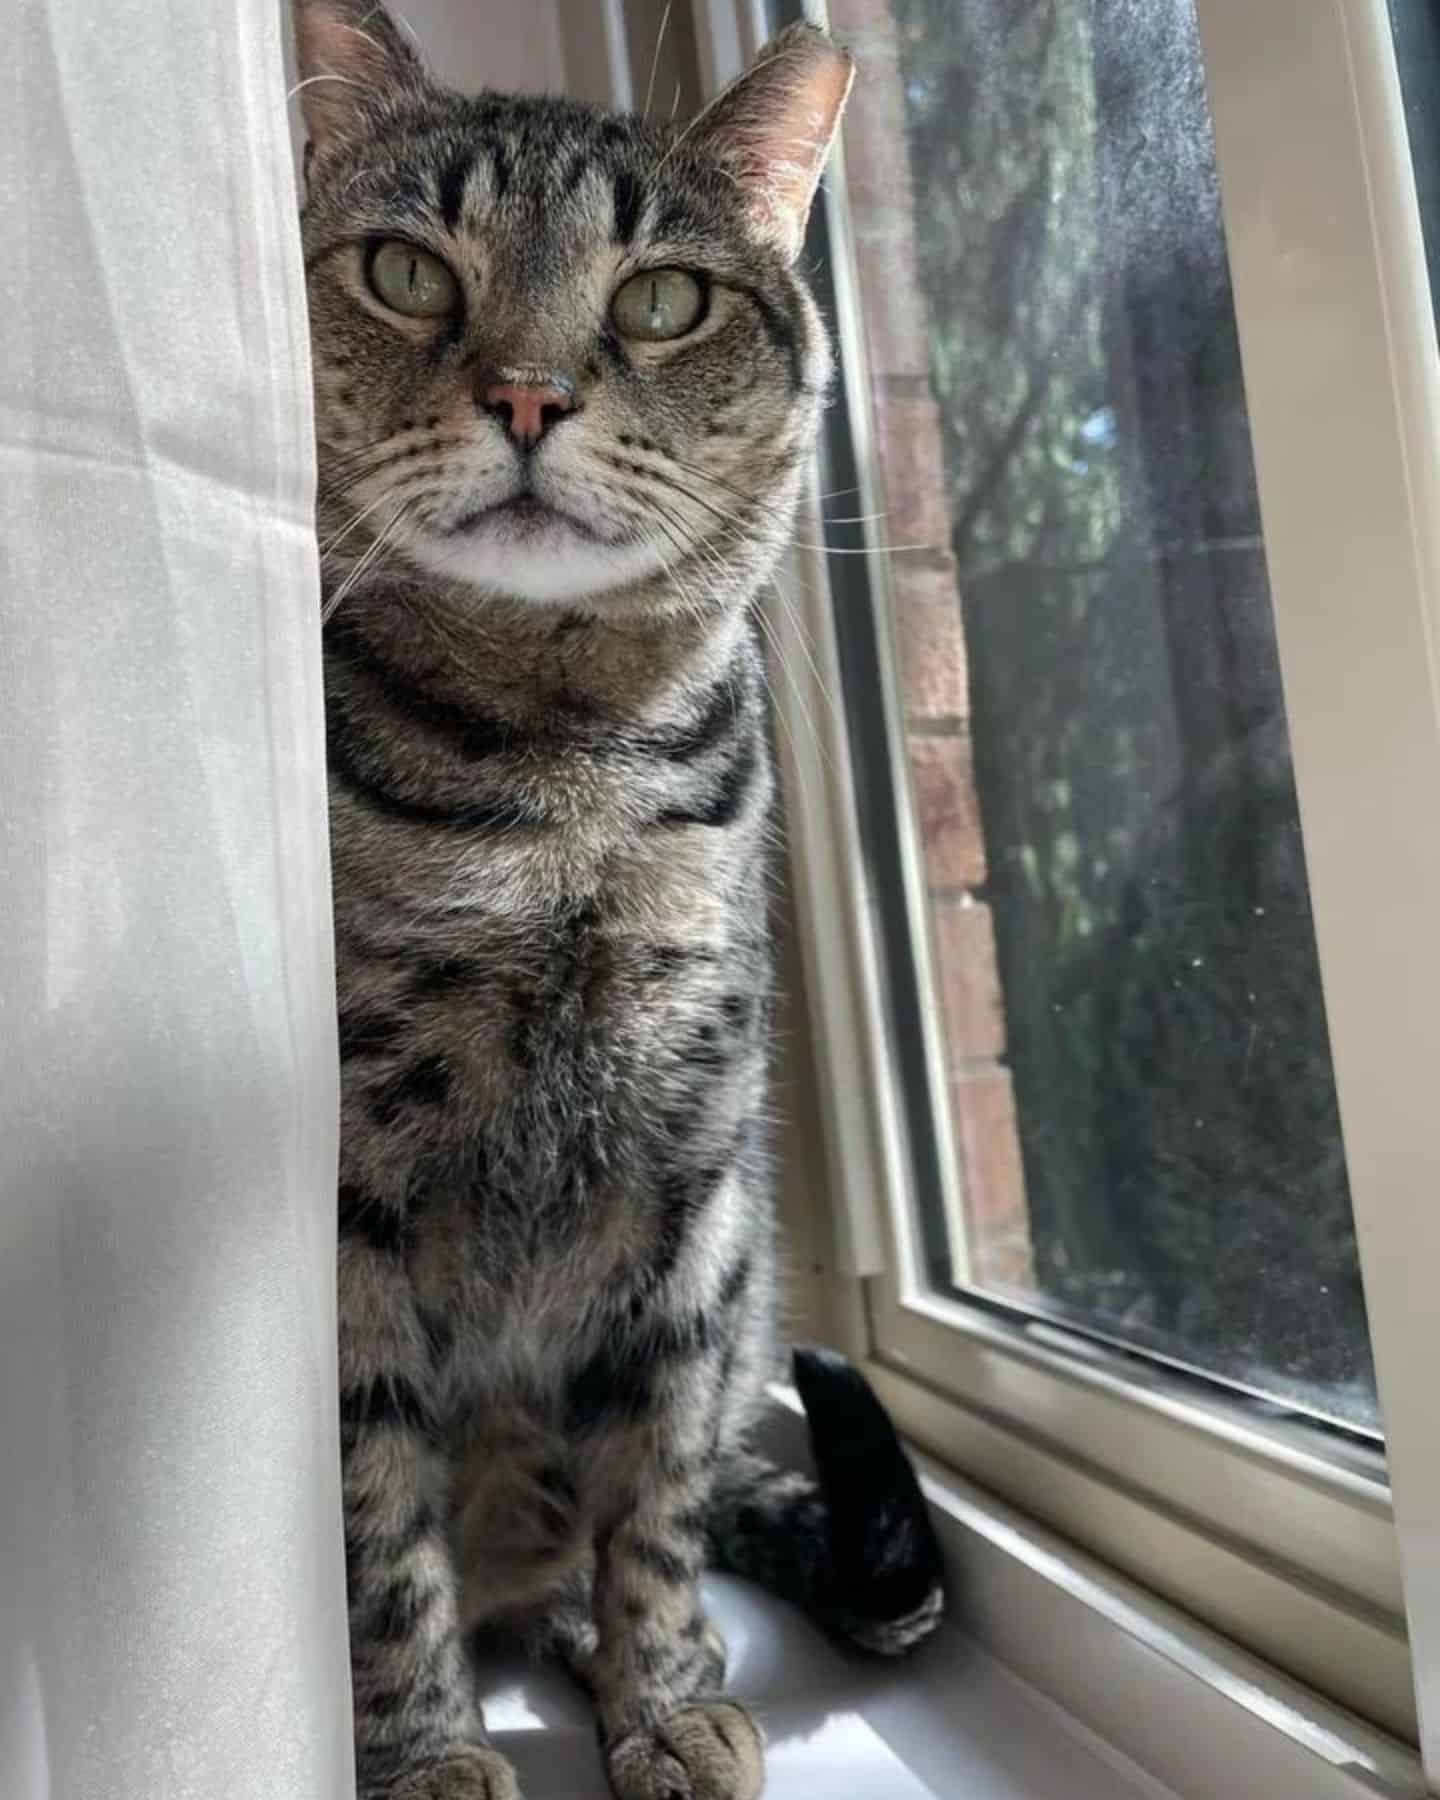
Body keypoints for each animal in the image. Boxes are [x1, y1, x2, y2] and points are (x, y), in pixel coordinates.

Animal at [291, 7, 943, 1792]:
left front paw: (662, 1696)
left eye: (661, 297)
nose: (529, 390)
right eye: (405, 270)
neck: (561, 798)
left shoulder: (687, 1193)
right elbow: (377, 1527)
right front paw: (425, 1751)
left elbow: (651, 1499)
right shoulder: (350, 1218)